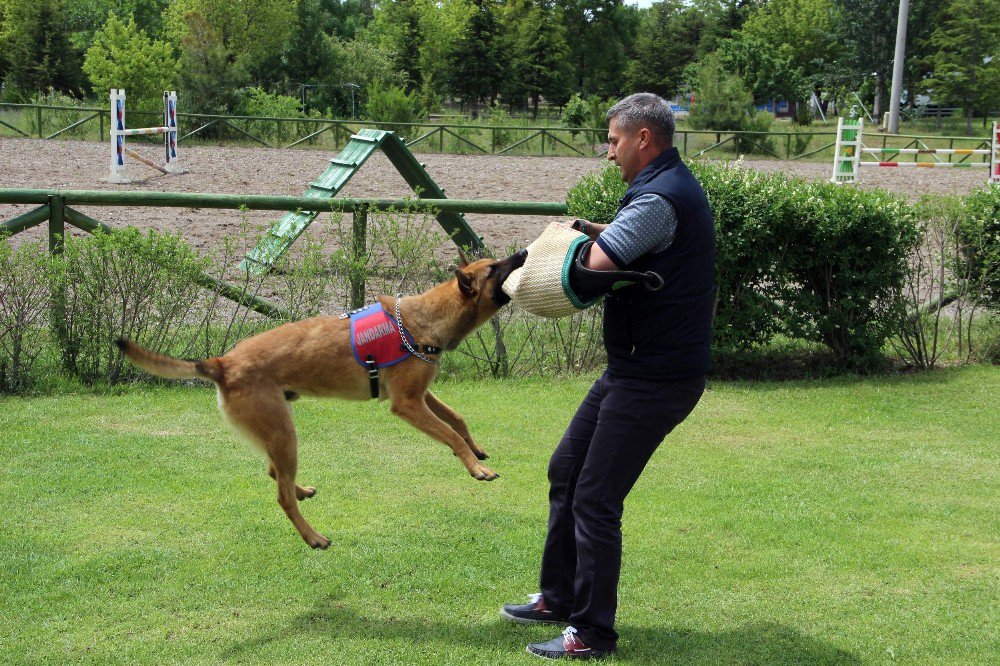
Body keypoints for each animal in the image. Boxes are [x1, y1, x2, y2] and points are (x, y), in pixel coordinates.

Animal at [116, 246, 528, 548]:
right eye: (495, 268)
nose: (524, 251)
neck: (423, 318)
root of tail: (222, 362)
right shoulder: (407, 404)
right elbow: (451, 435)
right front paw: (476, 469)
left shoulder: (421, 395)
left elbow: (457, 418)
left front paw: (477, 451)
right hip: (284, 432)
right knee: (280, 495)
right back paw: (313, 537)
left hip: (278, 433)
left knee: (275, 473)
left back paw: (300, 490)